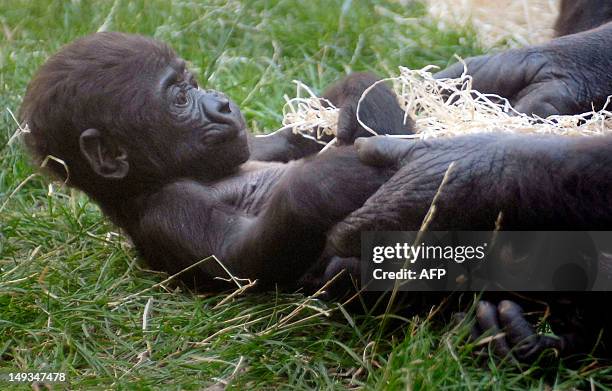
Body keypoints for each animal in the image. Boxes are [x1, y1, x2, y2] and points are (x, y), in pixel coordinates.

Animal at [19, 33, 412, 290]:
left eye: (192, 83)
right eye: (180, 98)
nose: (222, 103)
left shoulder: (247, 147)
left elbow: (291, 136)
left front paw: (362, 97)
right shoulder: (166, 207)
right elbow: (240, 258)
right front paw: (329, 181)